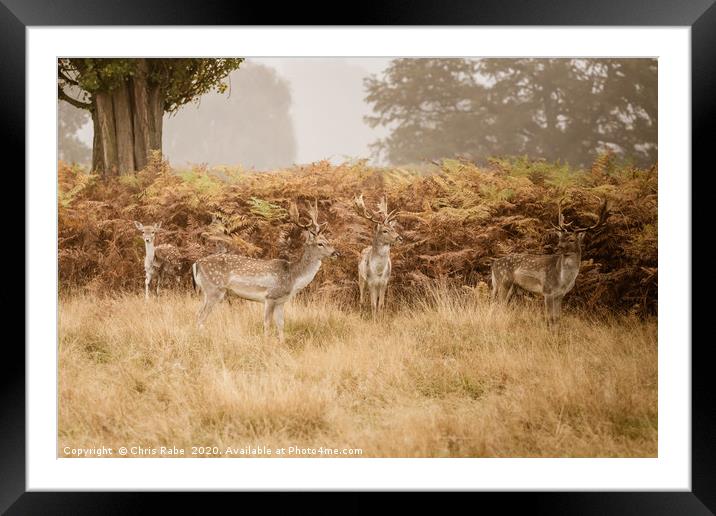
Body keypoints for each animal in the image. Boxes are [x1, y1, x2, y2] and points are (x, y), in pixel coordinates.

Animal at [192, 200, 340, 340]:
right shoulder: (270, 296)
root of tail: (196, 264)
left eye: (328, 240)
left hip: (206, 292)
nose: (336, 253)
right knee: (200, 316)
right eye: (320, 243)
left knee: (198, 314)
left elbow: (281, 324)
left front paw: (281, 343)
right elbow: (267, 323)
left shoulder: (281, 301)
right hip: (214, 289)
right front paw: (267, 342)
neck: (293, 277)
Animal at [492, 196, 608, 324]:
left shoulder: (560, 295)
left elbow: (557, 318)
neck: (563, 280)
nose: (557, 247)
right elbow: (549, 318)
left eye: (571, 239)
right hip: (503, 282)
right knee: (499, 304)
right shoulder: (547, 291)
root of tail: (493, 265)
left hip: (508, 285)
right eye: (560, 238)